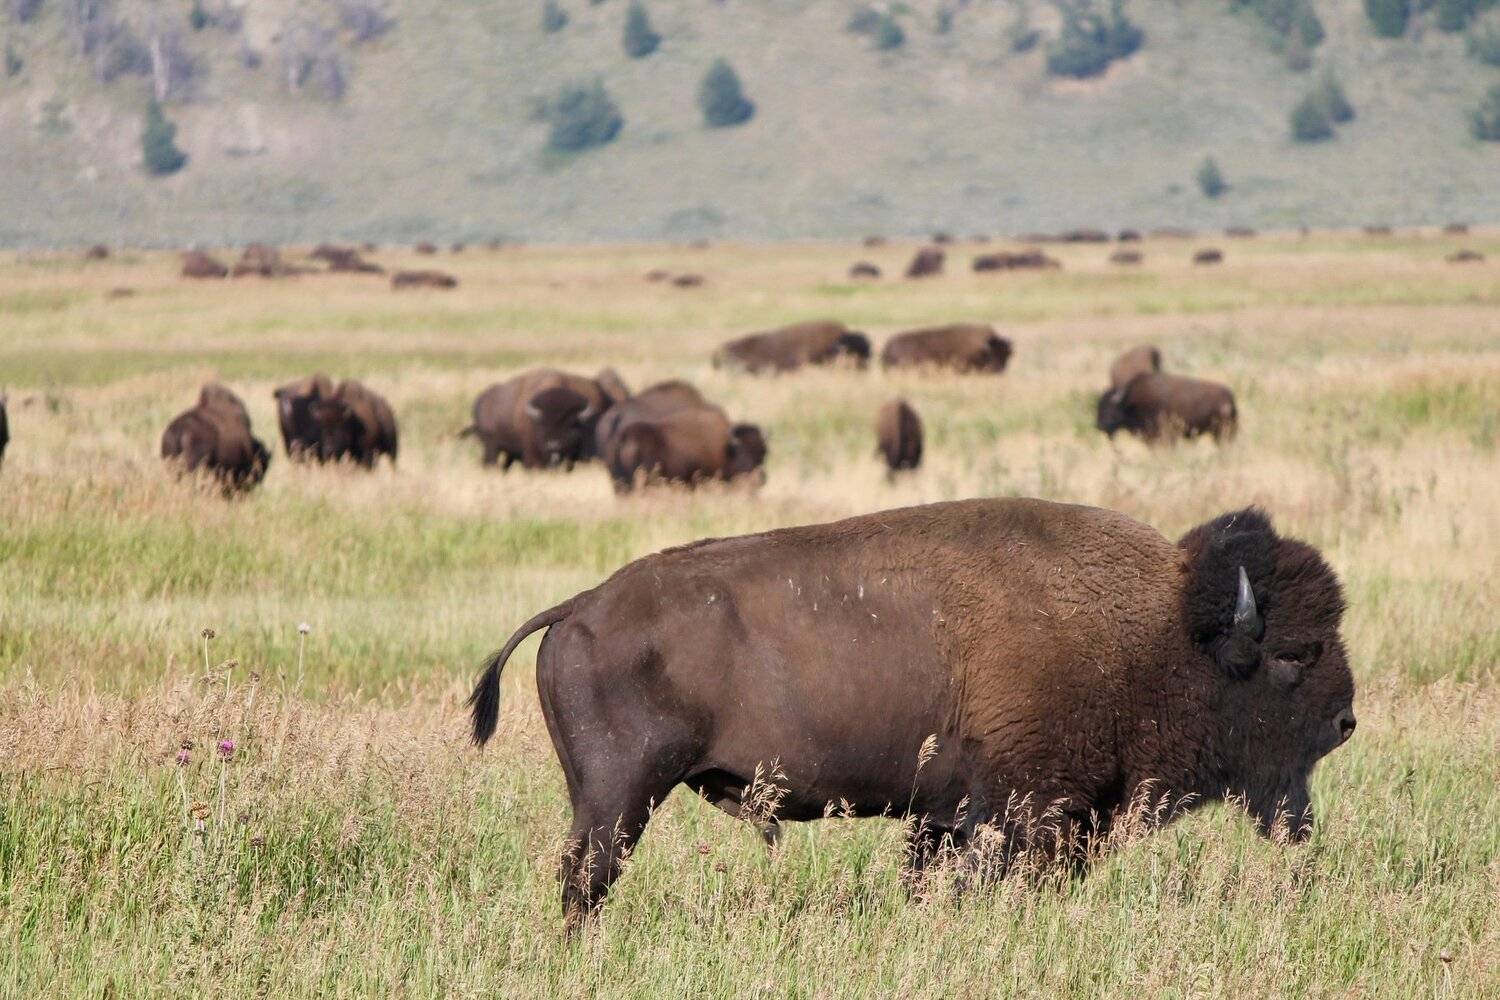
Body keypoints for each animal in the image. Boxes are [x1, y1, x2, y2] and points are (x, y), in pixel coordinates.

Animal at [470, 499, 1356, 927]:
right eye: (1291, 655)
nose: (1347, 720)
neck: (1156, 630)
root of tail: (577, 608)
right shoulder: (1017, 812)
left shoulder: (946, 816)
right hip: (619, 797)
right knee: (586, 879)